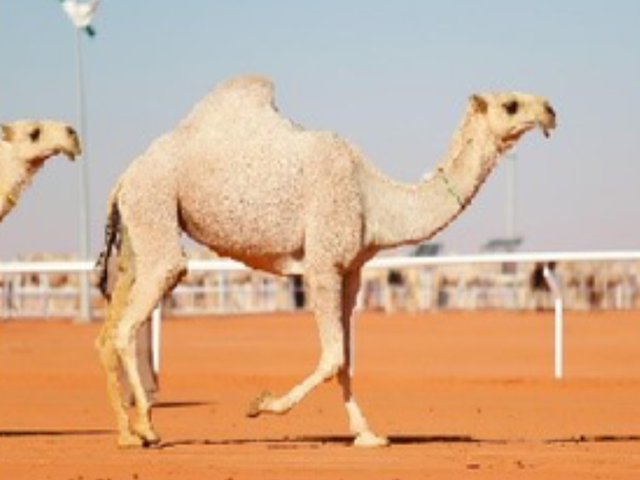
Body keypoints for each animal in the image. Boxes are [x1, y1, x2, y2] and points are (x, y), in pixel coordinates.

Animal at [95, 75, 556, 448]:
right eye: (510, 104)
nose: (551, 110)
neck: (374, 198)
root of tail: (125, 175)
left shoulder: (351, 271)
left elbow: (347, 358)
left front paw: (368, 435)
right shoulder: (322, 263)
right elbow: (333, 356)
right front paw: (261, 404)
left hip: (137, 233)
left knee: (108, 331)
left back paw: (126, 434)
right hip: (155, 205)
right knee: (134, 316)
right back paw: (148, 428)